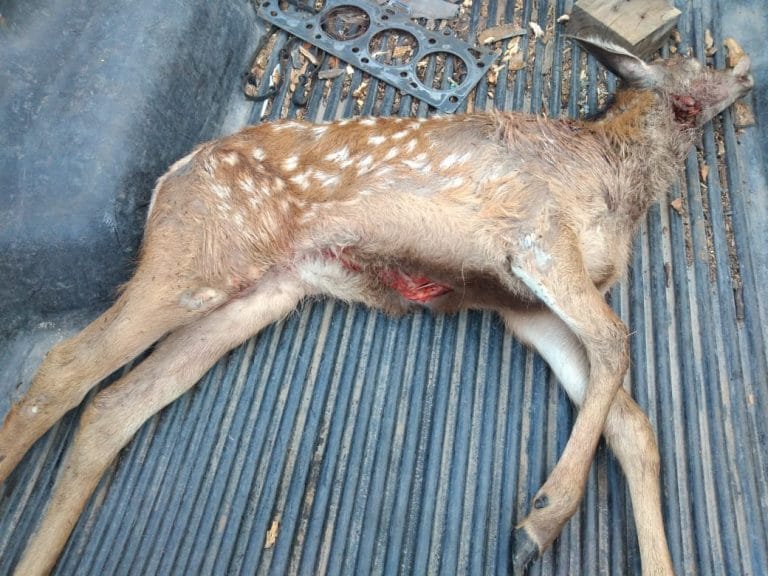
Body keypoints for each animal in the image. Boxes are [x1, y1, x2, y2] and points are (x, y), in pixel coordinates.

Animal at [0, 36, 754, 575]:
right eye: (697, 63)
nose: (746, 77)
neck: (615, 183)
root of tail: (167, 180)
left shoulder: (524, 307)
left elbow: (632, 422)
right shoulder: (537, 241)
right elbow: (617, 341)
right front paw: (536, 525)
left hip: (260, 293)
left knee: (113, 405)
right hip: (200, 258)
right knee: (64, 368)